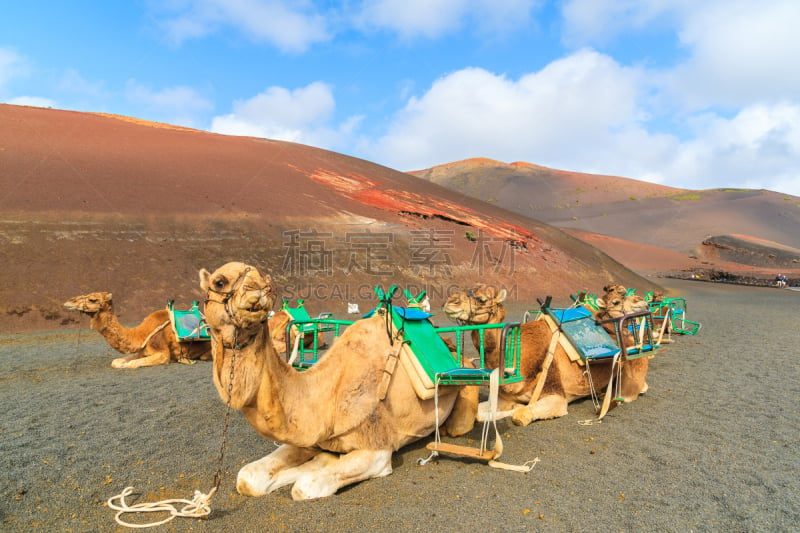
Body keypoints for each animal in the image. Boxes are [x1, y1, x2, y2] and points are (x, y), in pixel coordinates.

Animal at [63, 290, 212, 370]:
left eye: (93, 299)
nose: (69, 302)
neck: (141, 334)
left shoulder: (163, 353)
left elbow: (131, 364)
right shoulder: (142, 352)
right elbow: (116, 362)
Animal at [198, 262, 478, 498]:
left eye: (265, 280)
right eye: (219, 281)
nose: (258, 287)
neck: (325, 395)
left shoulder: (378, 451)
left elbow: (305, 486)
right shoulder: (311, 436)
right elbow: (247, 477)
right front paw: (321, 460)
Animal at [444, 282, 648, 424]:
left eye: (482, 299)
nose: (450, 302)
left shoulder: (556, 396)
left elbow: (520, 413)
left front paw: (518, 408)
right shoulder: (503, 396)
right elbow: (479, 413)